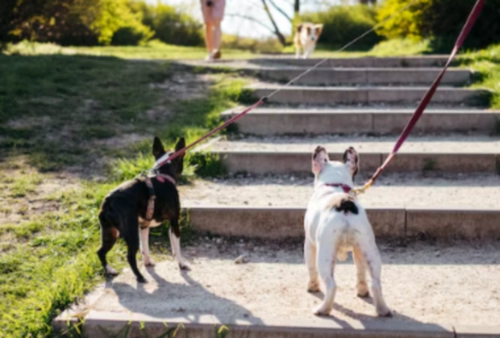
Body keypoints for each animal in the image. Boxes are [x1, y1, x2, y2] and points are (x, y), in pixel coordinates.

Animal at [97, 137, 189, 282]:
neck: (163, 174)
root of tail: (108, 201)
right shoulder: (174, 221)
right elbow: (176, 246)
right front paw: (181, 263)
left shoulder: (144, 225)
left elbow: (145, 247)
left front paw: (147, 262)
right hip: (130, 232)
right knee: (129, 256)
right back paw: (140, 277)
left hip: (110, 232)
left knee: (100, 251)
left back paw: (110, 270)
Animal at [302, 145, 392, 316]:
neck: (334, 184)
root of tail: (344, 202)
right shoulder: (358, 250)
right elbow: (360, 270)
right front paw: (362, 291)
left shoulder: (309, 244)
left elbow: (310, 268)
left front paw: (312, 287)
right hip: (368, 248)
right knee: (376, 282)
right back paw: (382, 309)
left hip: (325, 253)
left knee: (331, 285)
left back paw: (323, 309)